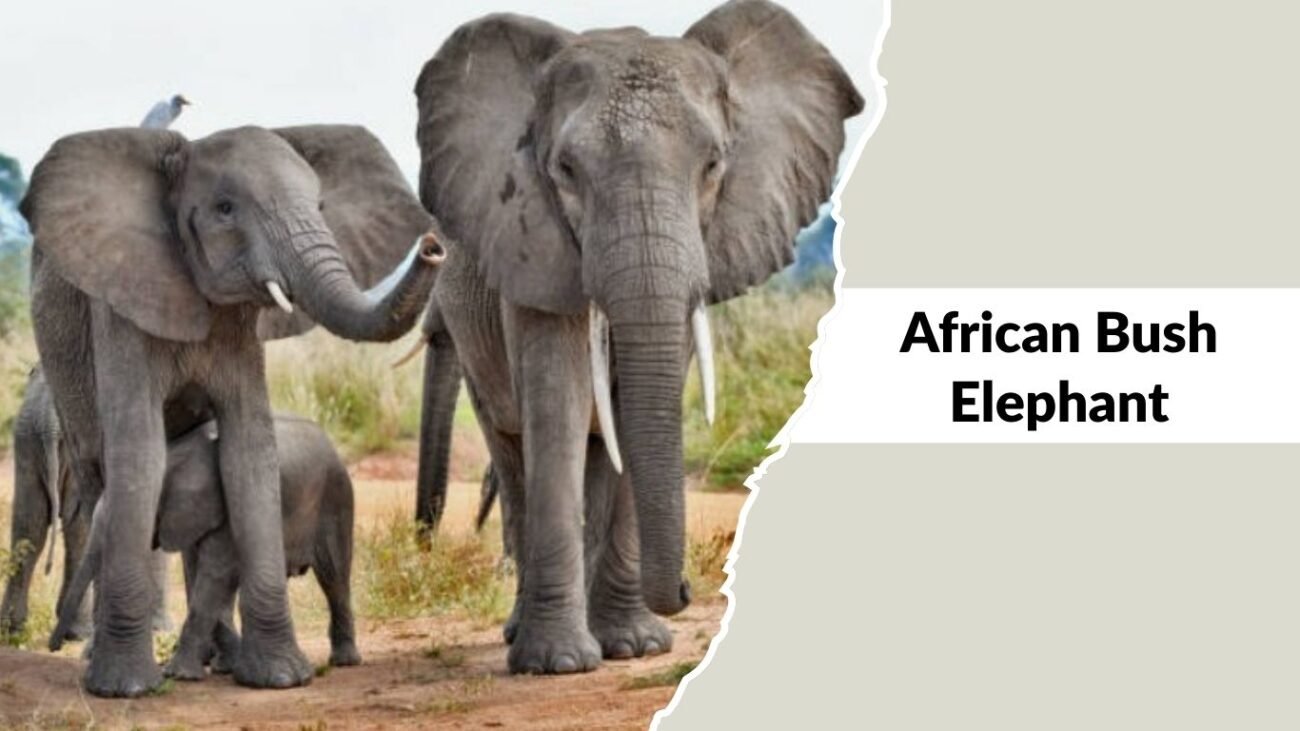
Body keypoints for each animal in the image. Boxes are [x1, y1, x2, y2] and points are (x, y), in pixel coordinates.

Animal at [1, 367, 171, 642]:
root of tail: (49, 421)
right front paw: (161, 631)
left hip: (27, 438)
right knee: (76, 527)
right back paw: (80, 632)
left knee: (29, 526)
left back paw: (12, 629)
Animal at [51, 415, 360, 681]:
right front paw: (226, 664)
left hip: (336, 497)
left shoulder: (227, 508)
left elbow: (216, 574)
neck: (172, 456)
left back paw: (345, 661)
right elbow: (204, 575)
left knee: (334, 577)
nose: (54, 646)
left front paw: (178, 675)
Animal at [412, 0, 863, 674]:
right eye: (566, 170)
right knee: (514, 455)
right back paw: (523, 634)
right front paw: (557, 664)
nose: (685, 588)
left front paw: (635, 647)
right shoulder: (531, 250)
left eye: (713, 165)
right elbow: (558, 405)